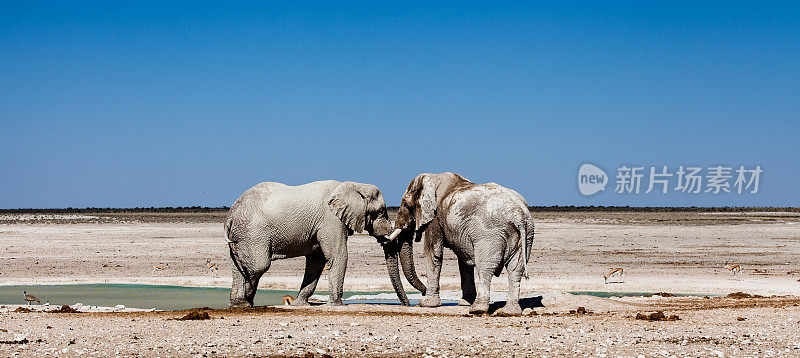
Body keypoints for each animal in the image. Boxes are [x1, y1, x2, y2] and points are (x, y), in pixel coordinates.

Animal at [223, 180, 398, 310]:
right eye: (381, 211)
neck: (353, 185)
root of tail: (230, 216)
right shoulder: (331, 220)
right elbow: (338, 255)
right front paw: (337, 305)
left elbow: (316, 261)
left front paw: (299, 304)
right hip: (253, 234)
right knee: (258, 266)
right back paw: (245, 302)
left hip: (241, 236)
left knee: (237, 267)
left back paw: (238, 305)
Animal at [384, 172, 536, 314]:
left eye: (405, 204)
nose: (411, 303)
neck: (432, 178)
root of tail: (519, 215)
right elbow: (464, 260)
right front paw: (463, 303)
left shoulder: (435, 218)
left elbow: (433, 253)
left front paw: (427, 303)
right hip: (527, 233)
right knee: (516, 269)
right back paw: (509, 311)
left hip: (490, 235)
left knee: (485, 267)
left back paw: (477, 309)